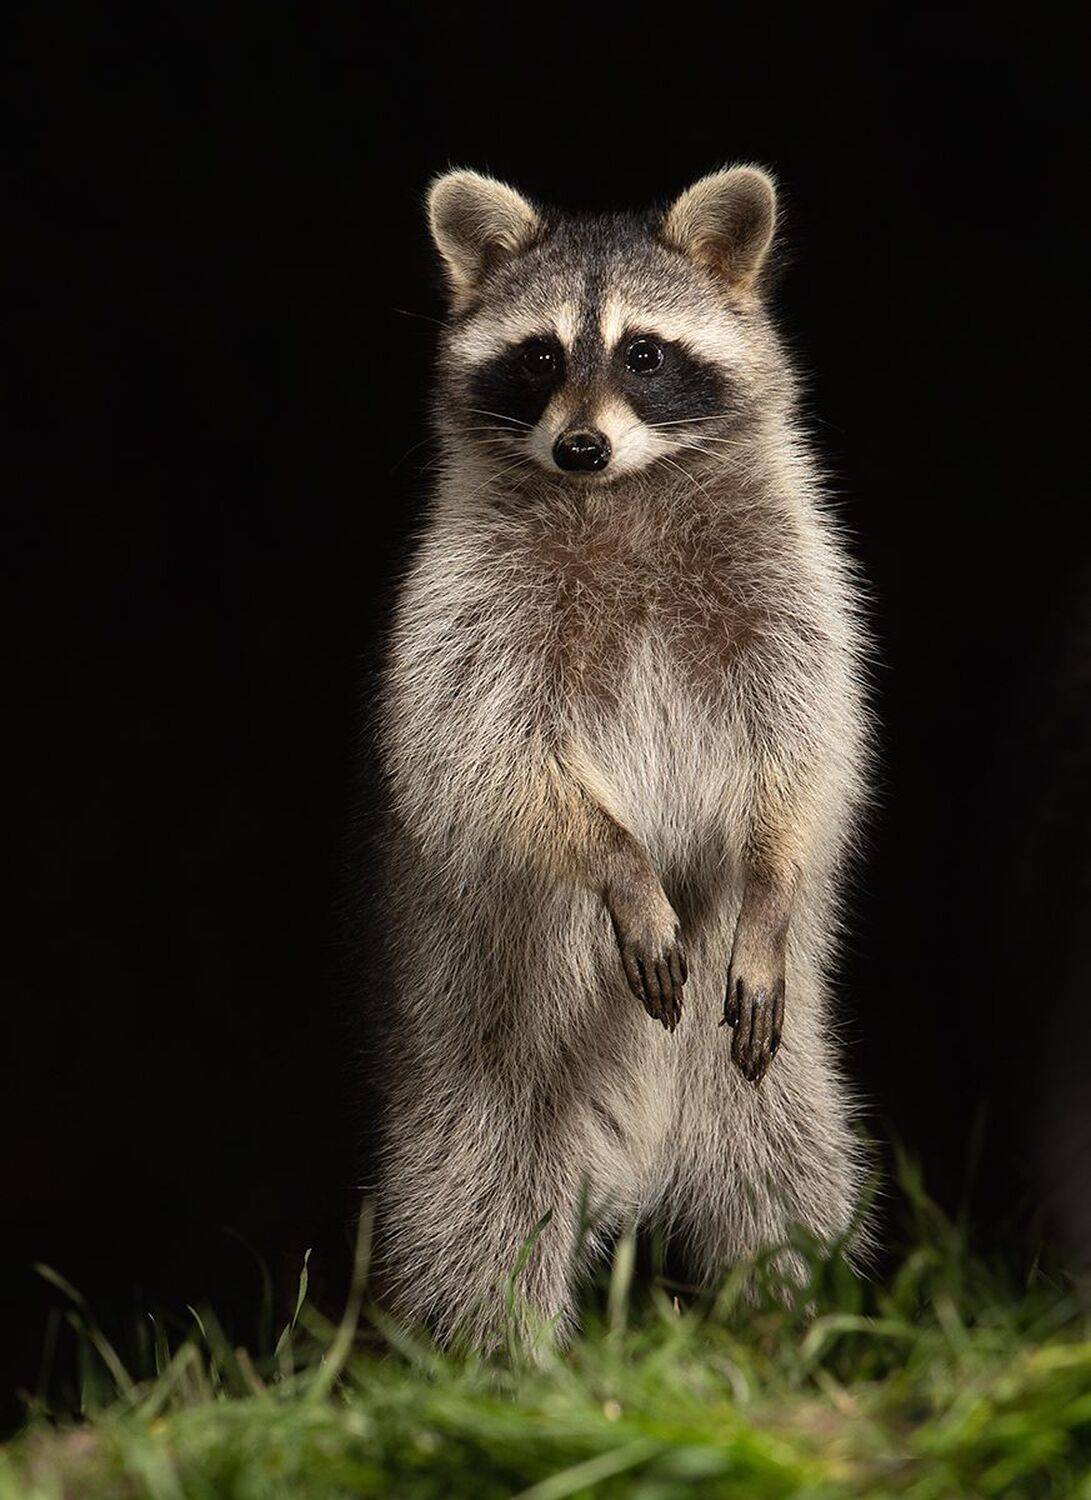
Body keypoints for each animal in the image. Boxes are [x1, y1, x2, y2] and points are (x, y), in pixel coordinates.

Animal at [368, 166, 871, 1349]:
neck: (617, 496)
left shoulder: (792, 577)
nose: (580, 448)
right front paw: (616, 863)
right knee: (478, 1217)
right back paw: (500, 1363)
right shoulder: (465, 611)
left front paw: (773, 876)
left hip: (772, 1077)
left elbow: (804, 747)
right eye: (540, 357)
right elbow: (492, 761)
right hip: (479, 1076)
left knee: (787, 1186)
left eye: (643, 353)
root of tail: (642, 1155)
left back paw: (783, 1329)